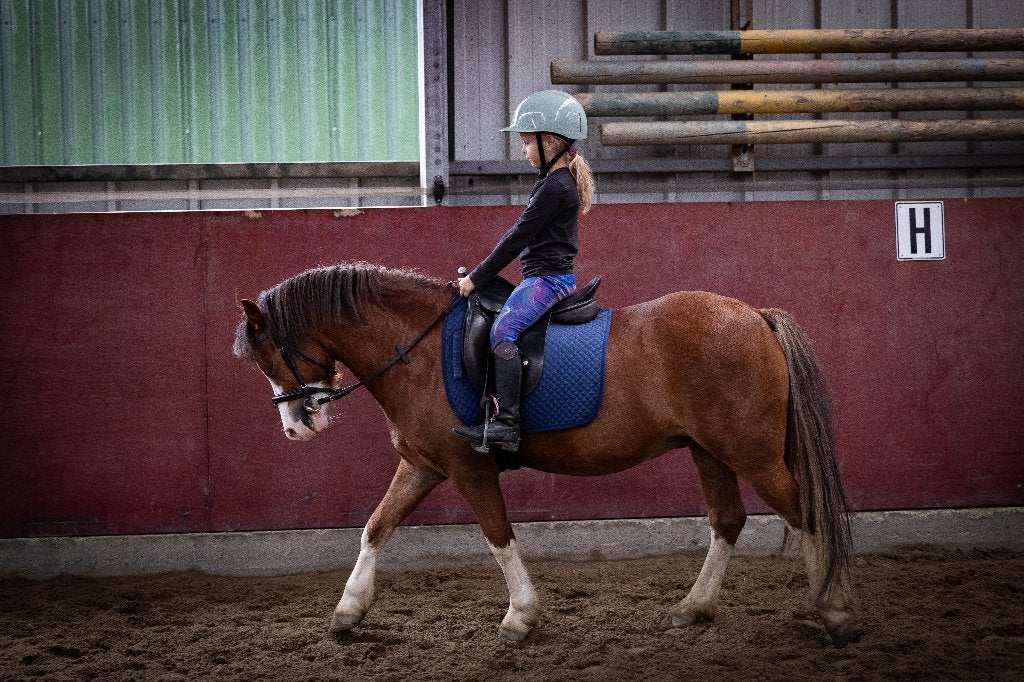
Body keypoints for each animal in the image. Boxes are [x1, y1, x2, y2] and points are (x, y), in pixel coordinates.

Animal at [234, 262, 856, 647]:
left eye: (268, 357)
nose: (296, 428)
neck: (419, 350)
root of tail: (755, 317)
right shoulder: (422, 465)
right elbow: (375, 528)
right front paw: (347, 613)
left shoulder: (467, 467)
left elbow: (498, 535)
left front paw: (520, 617)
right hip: (710, 451)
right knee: (727, 520)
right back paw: (692, 609)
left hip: (752, 455)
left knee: (805, 515)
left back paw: (836, 611)